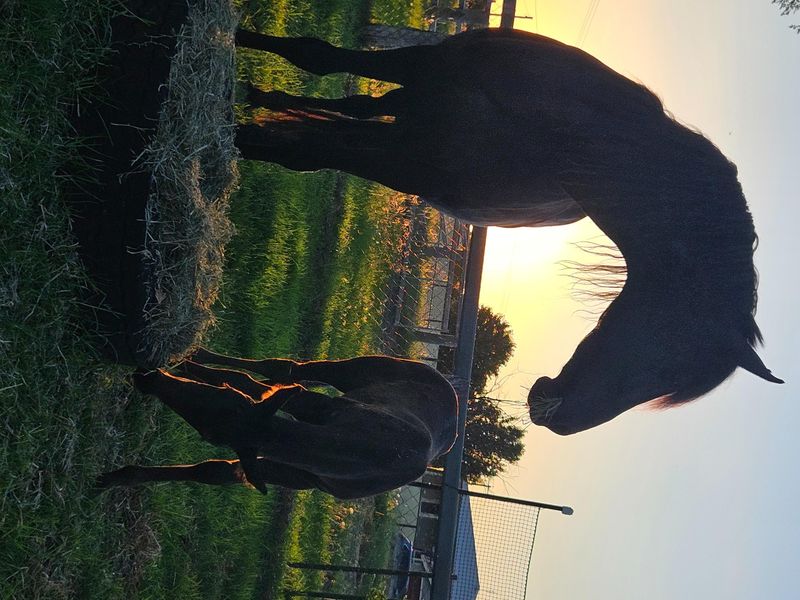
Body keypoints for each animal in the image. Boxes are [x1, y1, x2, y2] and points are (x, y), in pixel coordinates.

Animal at [98, 350, 458, 498]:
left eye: (208, 434)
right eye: (225, 395)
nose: (147, 378)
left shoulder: (294, 474)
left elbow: (211, 471)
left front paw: (118, 478)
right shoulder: (316, 406)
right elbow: (251, 381)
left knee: (277, 372)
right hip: (354, 371)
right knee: (286, 368)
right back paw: (195, 355)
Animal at [232, 27, 782, 435]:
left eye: (667, 378)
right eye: (667, 359)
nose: (559, 417)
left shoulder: (412, 159)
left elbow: (298, 147)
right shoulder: (419, 89)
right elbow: (315, 64)